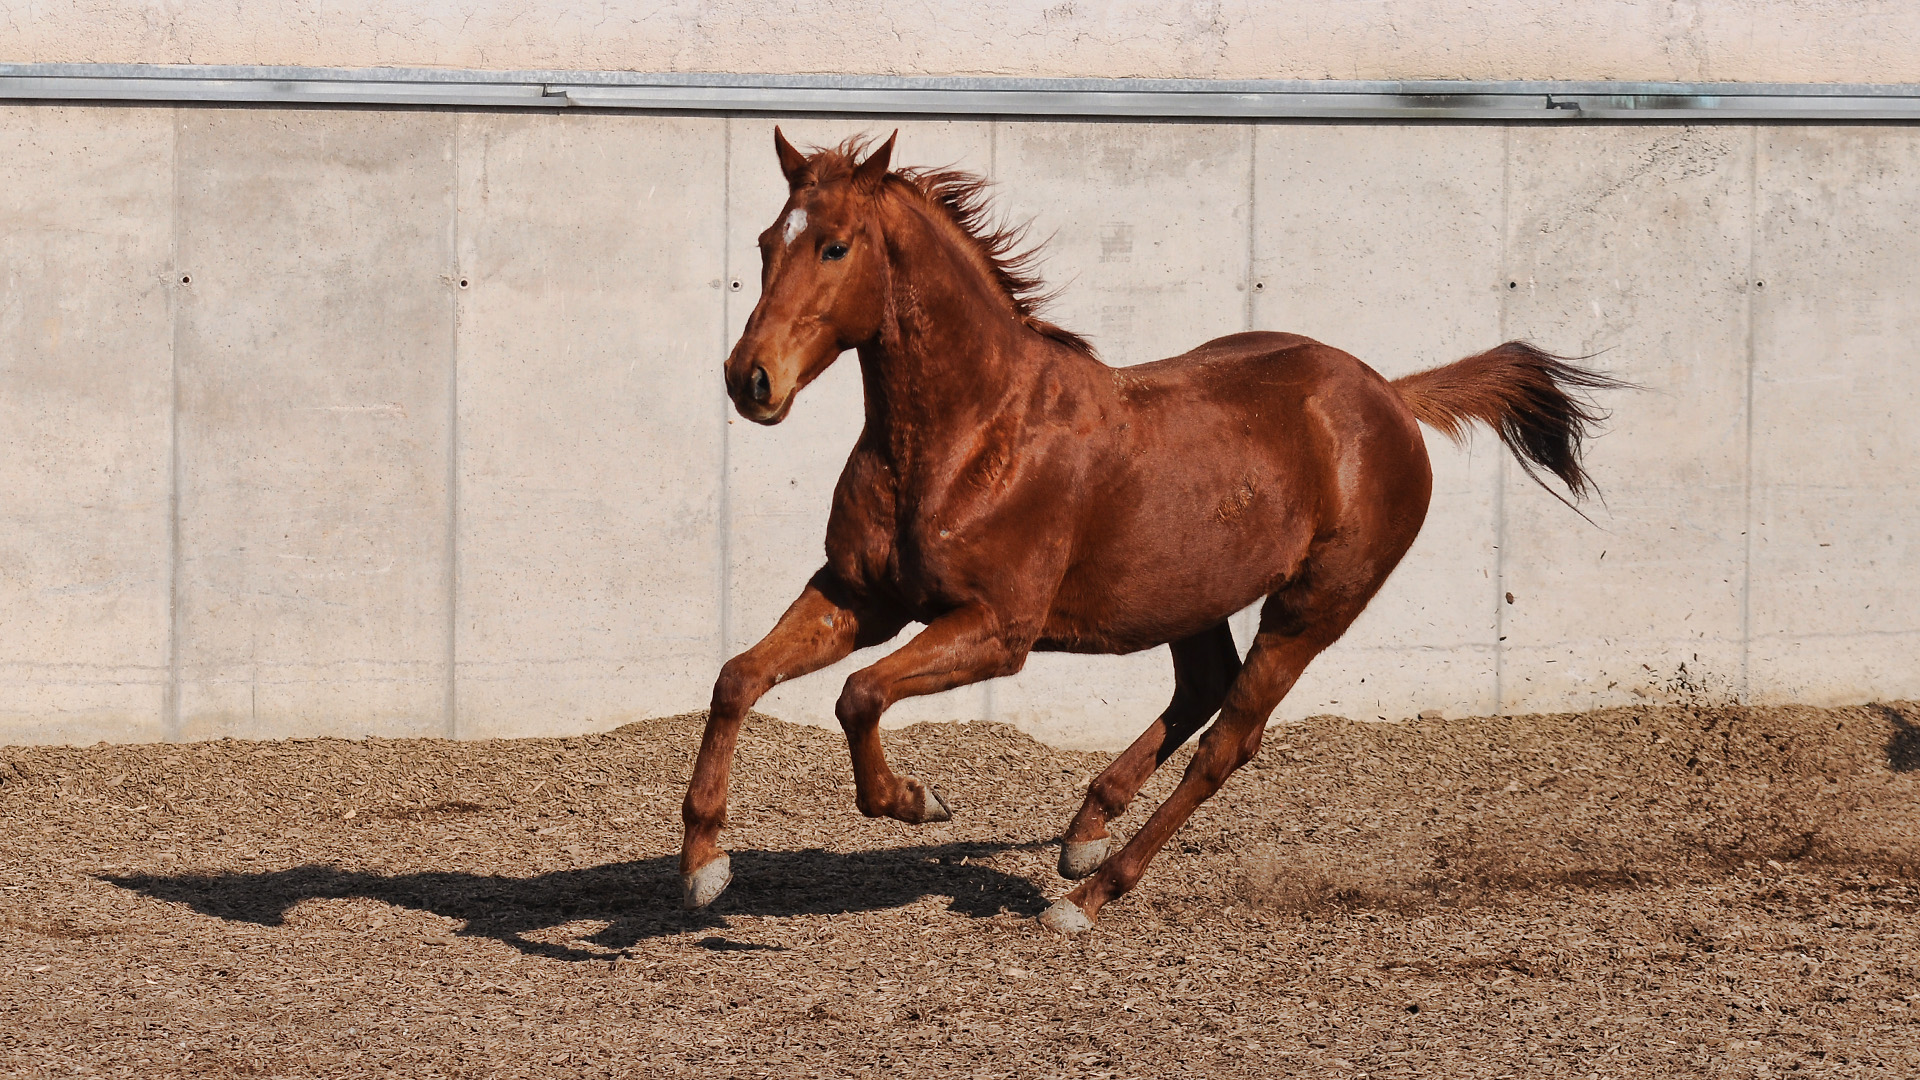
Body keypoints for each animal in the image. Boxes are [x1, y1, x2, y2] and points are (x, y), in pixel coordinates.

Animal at [675, 130, 1620, 930]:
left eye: (835, 246)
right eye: (765, 243)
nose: (748, 380)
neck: (973, 431)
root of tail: (1390, 393)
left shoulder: (998, 630)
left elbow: (858, 695)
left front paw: (916, 800)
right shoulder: (857, 595)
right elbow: (736, 677)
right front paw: (703, 866)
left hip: (1311, 609)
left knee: (1229, 740)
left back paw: (1090, 895)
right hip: (1191, 594)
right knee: (1202, 690)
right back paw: (1083, 831)